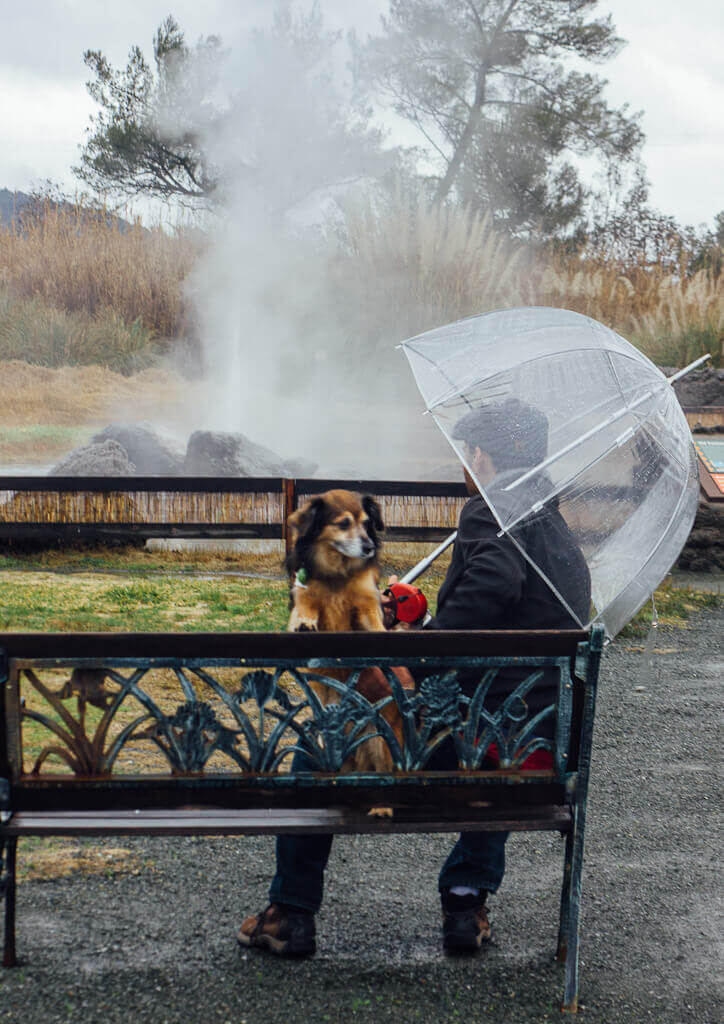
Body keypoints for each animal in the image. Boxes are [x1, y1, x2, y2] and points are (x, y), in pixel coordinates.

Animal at [286, 491, 407, 770]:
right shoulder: (304, 594)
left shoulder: (366, 604)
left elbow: (374, 623)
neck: (337, 573)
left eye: (366, 523)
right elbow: (304, 609)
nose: (369, 547)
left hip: (383, 744)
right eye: (343, 524)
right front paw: (304, 623)